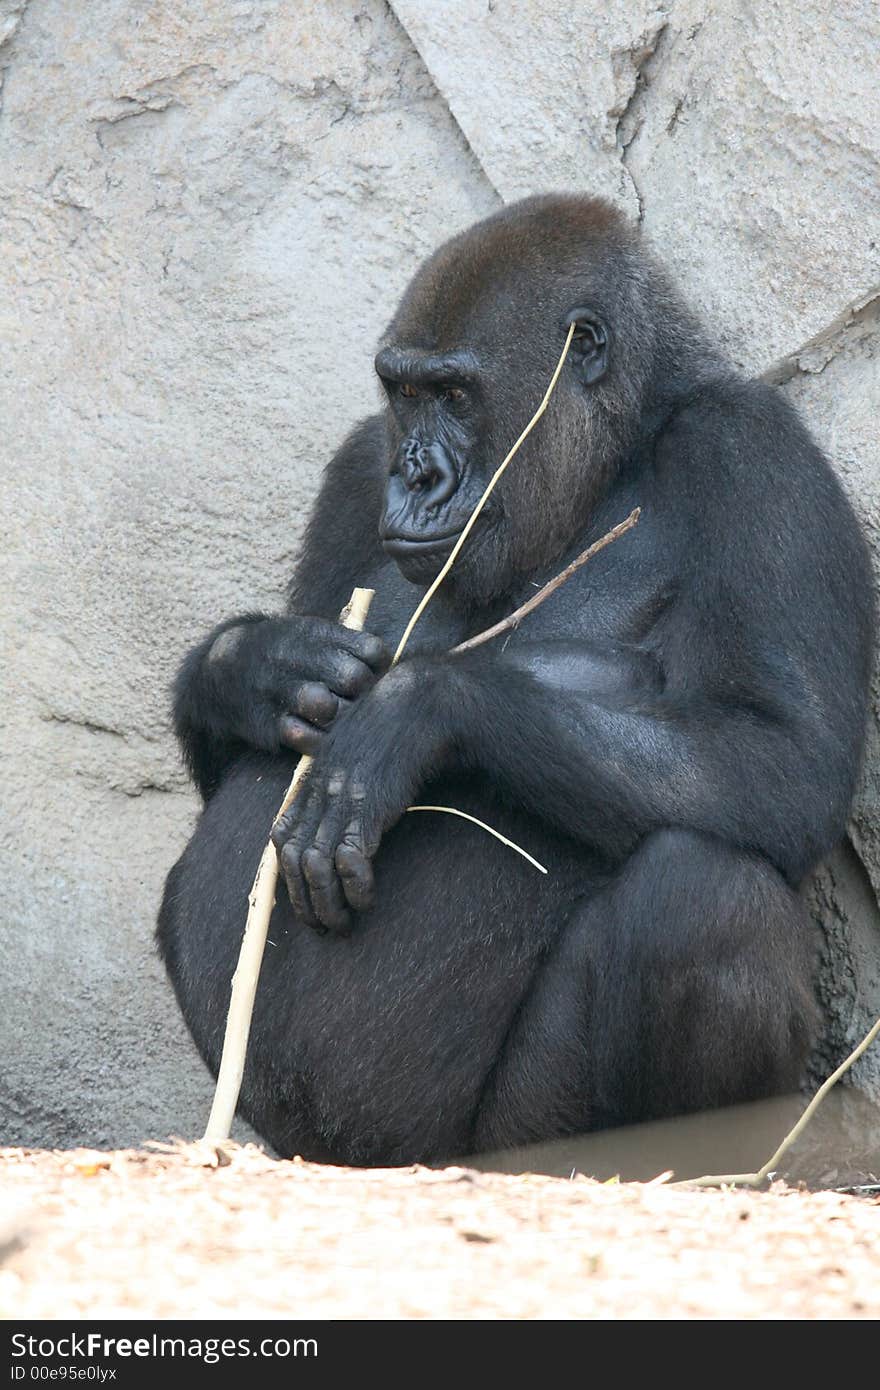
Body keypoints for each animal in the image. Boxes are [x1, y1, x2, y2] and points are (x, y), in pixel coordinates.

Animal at [156, 195, 873, 1167]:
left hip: (504, 1139)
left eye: (457, 397)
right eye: (404, 393)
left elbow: (786, 761)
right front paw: (255, 666)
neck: (620, 448)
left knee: (703, 894)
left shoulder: (754, 450)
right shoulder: (356, 466)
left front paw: (416, 712)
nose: (415, 475)